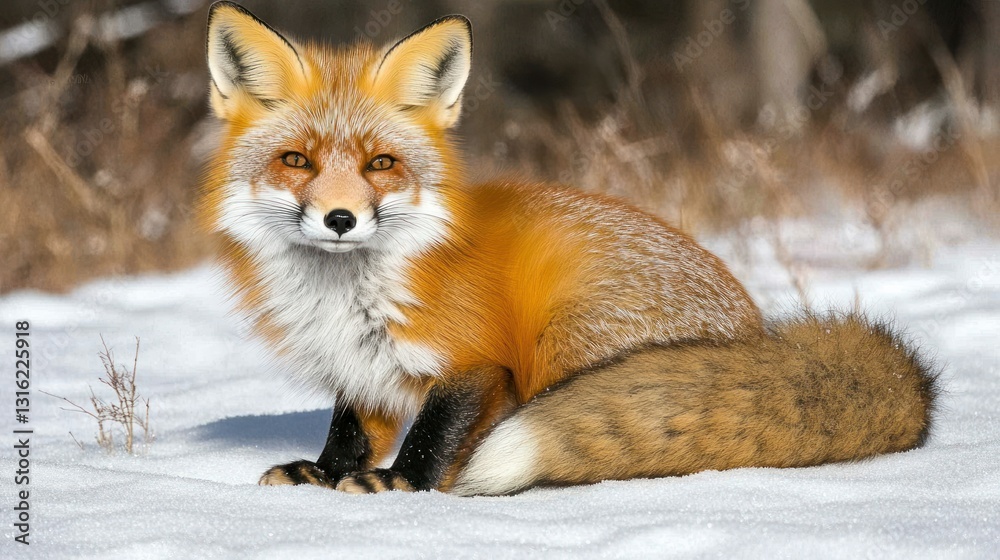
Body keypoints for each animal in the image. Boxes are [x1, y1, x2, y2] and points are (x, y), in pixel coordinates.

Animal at [200, 2, 937, 496]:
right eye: (297, 160)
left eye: (381, 163)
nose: (341, 218)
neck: (346, 293)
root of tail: (757, 335)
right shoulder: (362, 366)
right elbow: (351, 431)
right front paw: (322, 475)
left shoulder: (476, 362)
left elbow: (433, 434)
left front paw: (402, 486)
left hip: (564, 332)